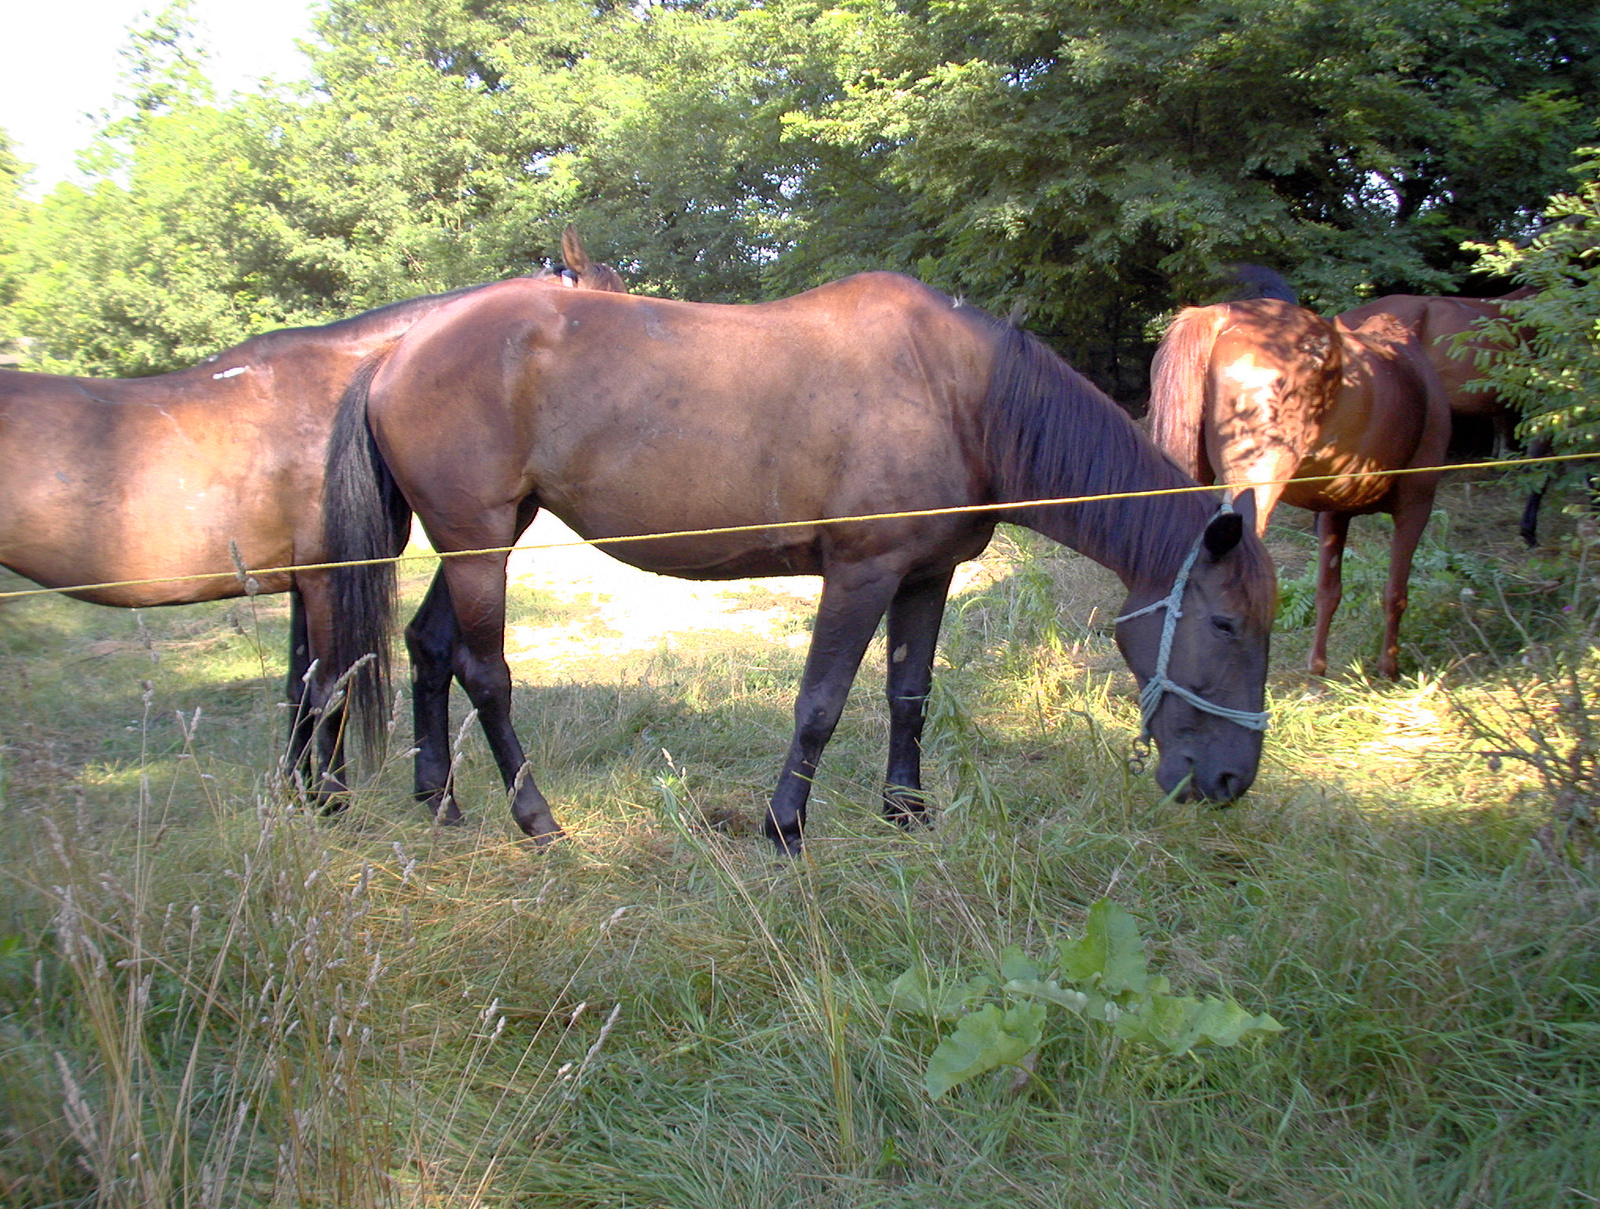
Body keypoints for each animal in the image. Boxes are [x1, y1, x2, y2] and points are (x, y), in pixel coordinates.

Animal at [0, 227, 624, 793]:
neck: (362, 380)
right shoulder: (328, 578)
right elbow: (331, 689)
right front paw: (330, 803)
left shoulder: (304, 582)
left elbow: (301, 690)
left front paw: (302, 797)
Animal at [324, 273, 1273, 850]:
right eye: (1226, 623)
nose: (1231, 780)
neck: (958, 393)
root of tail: (397, 351)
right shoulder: (861, 572)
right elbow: (820, 702)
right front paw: (785, 826)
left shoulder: (926, 575)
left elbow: (908, 694)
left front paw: (905, 812)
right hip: (479, 543)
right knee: (487, 674)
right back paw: (538, 821)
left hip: (483, 537)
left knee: (428, 646)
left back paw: (441, 802)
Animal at [1145, 294, 1459, 681]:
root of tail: (1225, 314)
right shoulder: (1416, 506)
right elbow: (1396, 592)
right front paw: (1388, 668)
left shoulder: (1335, 512)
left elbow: (1328, 591)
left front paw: (1317, 670)